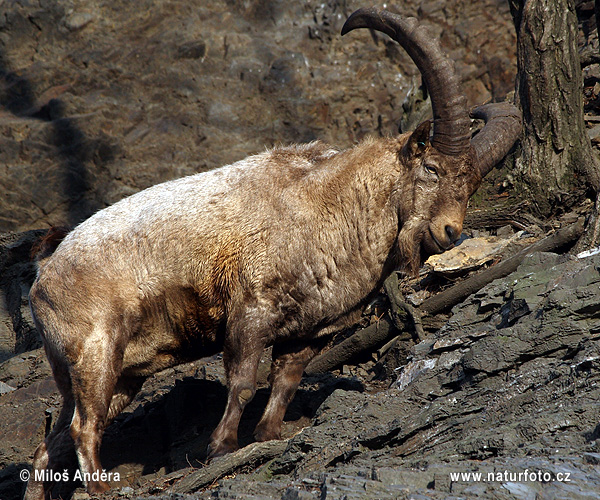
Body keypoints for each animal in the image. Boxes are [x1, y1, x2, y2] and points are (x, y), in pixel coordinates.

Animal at [24, 5, 520, 498]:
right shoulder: (251, 310)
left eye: (473, 183)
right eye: (431, 167)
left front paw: (268, 436)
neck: (324, 206)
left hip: (118, 374)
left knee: (53, 440)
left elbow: (285, 382)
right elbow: (244, 381)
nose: (449, 232)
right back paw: (100, 488)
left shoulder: (310, 331)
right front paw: (221, 448)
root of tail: (44, 275)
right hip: (97, 350)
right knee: (83, 426)